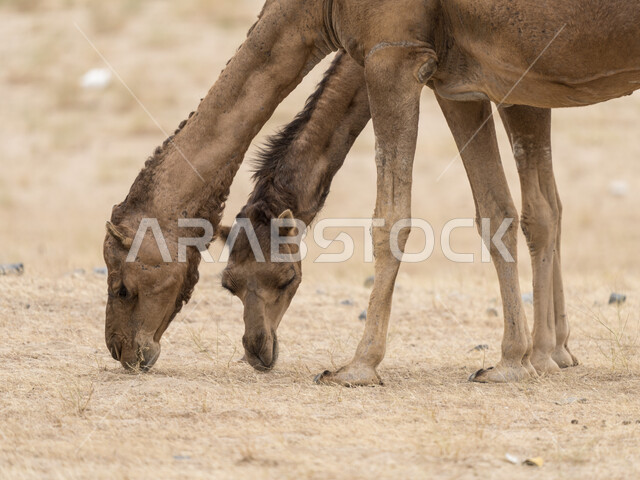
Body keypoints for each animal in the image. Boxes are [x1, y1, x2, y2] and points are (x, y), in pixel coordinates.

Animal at [103, 0, 639, 384]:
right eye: (230, 284)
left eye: (122, 284)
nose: (121, 348)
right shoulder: (462, 79)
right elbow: (506, 212)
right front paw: (522, 359)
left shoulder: (395, 54)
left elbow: (392, 219)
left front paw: (357, 367)